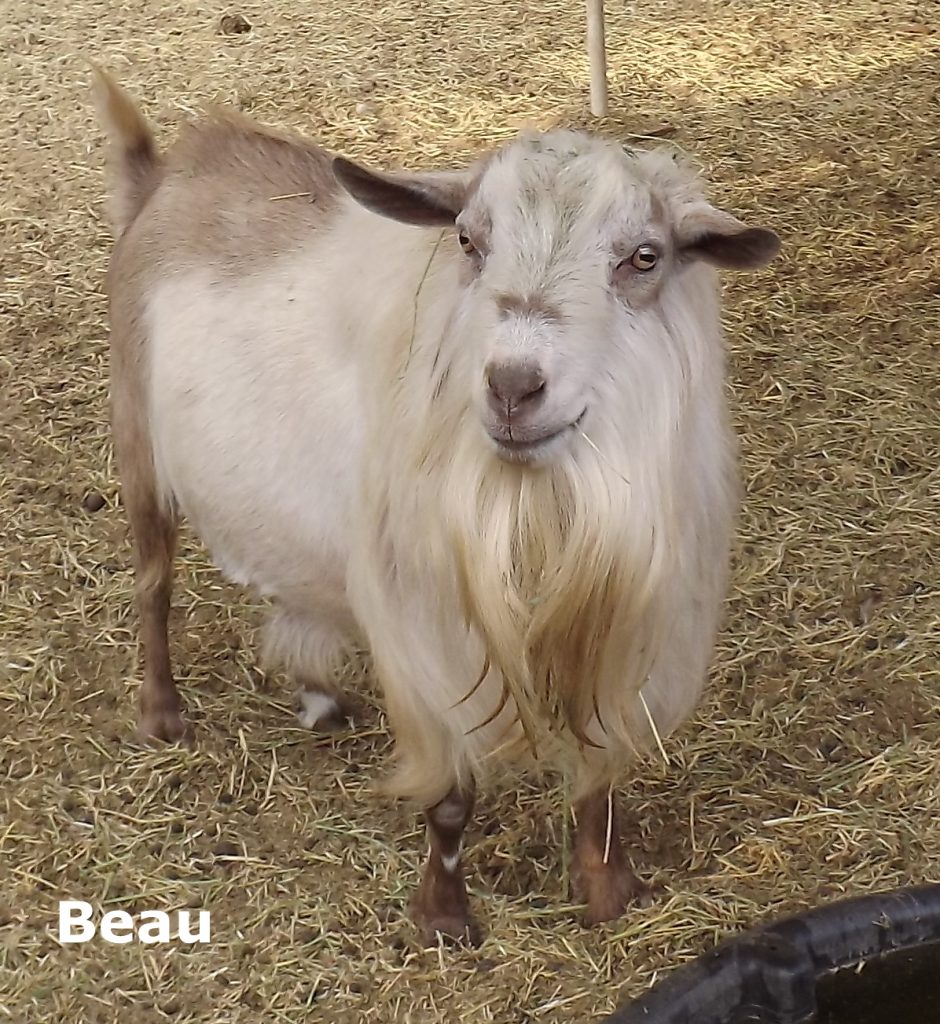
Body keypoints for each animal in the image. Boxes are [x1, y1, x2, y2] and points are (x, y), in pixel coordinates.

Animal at [93, 69, 779, 944]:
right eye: (466, 241)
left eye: (644, 256)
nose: (513, 386)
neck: (538, 501)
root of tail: (164, 176)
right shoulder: (430, 625)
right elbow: (452, 796)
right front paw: (444, 917)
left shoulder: (624, 623)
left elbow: (599, 771)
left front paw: (610, 890)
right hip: (137, 444)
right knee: (152, 585)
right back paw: (162, 714)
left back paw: (319, 697)